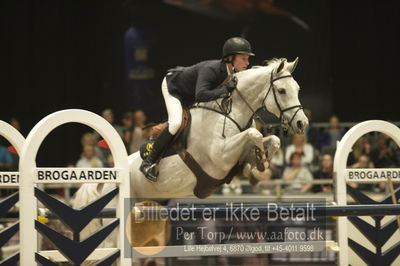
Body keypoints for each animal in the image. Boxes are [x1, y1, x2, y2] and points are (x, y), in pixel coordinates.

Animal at [72, 56, 310, 247]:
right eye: (282, 91)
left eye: (298, 89)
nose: (302, 123)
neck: (230, 111)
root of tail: (105, 181)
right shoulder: (219, 157)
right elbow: (255, 134)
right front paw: (259, 162)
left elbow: (272, 140)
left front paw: (258, 167)